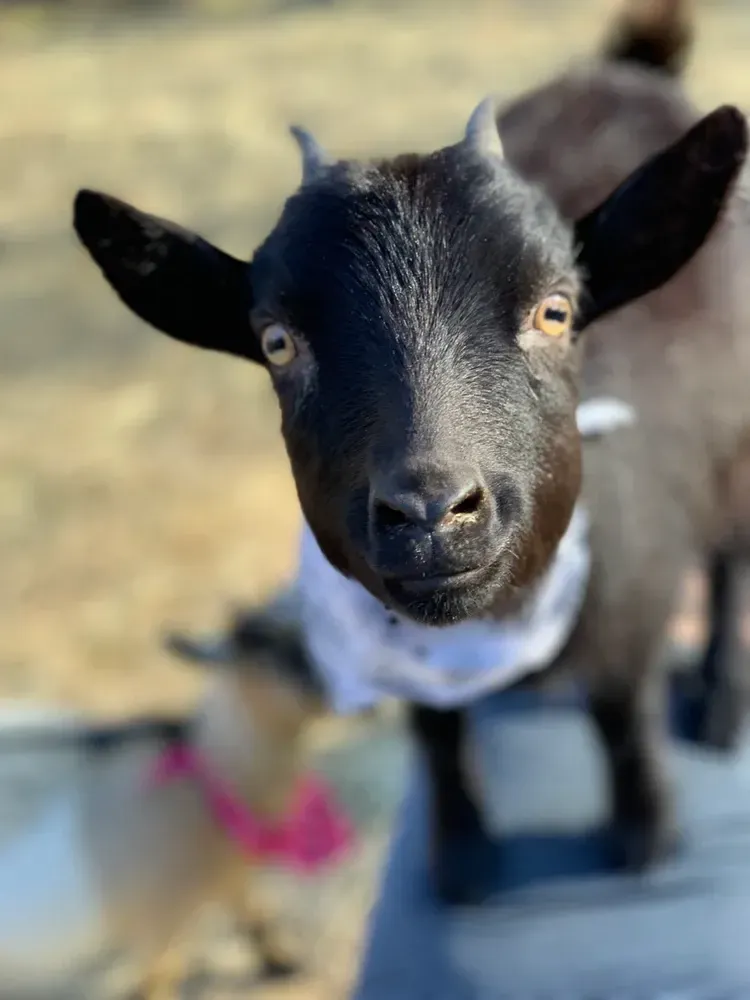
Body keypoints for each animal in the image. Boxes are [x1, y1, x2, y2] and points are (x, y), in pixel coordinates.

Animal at [0, 609, 351, 998]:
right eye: (252, 655)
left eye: (304, 638)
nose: (325, 687)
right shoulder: (155, 919)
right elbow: (163, 974)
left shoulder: (230, 876)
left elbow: (256, 914)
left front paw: (282, 962)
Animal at [70, 0, 749, 905]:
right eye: (276, 341)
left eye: (558, 310)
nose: (431, 514)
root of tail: (631, 66)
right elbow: (436, 732)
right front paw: (461, 858)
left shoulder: (635, 594)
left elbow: (621, 715)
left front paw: (646, 835)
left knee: (732, 564)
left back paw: (722, 703)